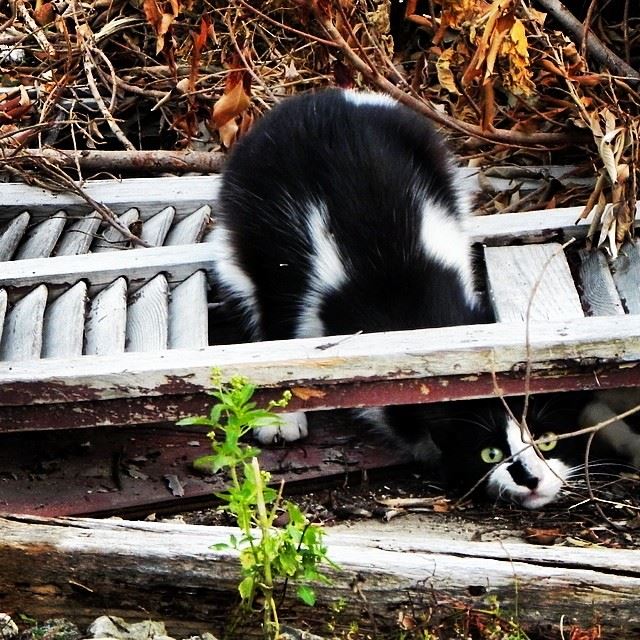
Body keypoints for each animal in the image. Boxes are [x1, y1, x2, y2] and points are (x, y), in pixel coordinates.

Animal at [211, 89, 636, 510]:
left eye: (546, 440)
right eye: (490, 453)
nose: (530, 477)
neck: (426, 319)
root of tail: (318, 96)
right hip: (250, 234)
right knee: (266, 306)